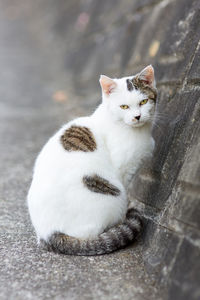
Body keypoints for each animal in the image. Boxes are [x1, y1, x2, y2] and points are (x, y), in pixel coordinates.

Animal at [27, 65, 157, 255]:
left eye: (143, 102)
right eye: (124, 106)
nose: (137, 116)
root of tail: (49, 234)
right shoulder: (123, 171)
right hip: (114, 194)